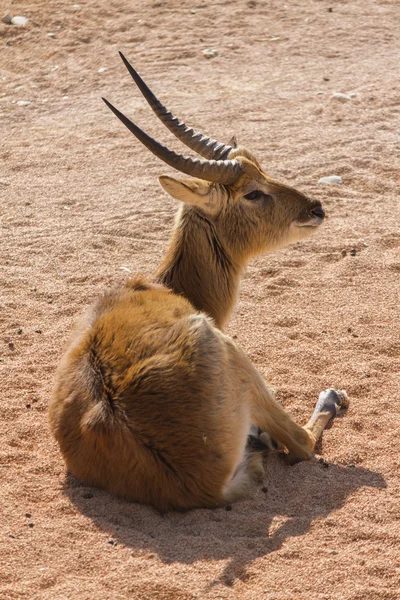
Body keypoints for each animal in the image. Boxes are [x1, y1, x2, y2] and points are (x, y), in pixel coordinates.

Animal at [48, 52, 348, 510]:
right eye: (252, 192)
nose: (316, 208)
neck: (163, 288)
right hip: (234, 357)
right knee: (299, 444)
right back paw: (328, 400)